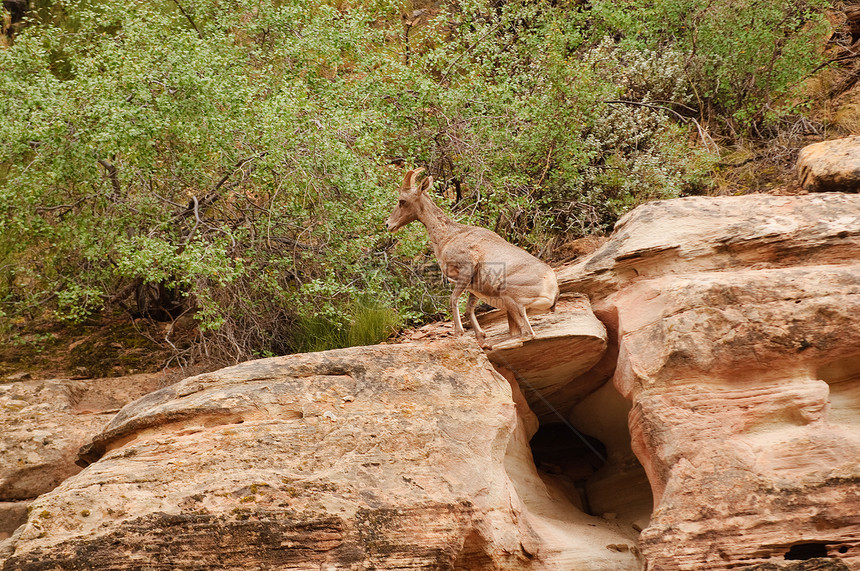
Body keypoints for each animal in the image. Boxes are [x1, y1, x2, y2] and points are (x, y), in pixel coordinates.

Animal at [386, 168, 560, 350]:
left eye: (402, 201)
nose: (388, 225)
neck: (448, 236)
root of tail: (552, 289)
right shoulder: (474, 288)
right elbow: (469, 309)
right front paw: (481, 337)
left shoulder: (465, 271)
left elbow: (453, 299)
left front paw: (458, 333)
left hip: (511, 299)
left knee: (527, 333)